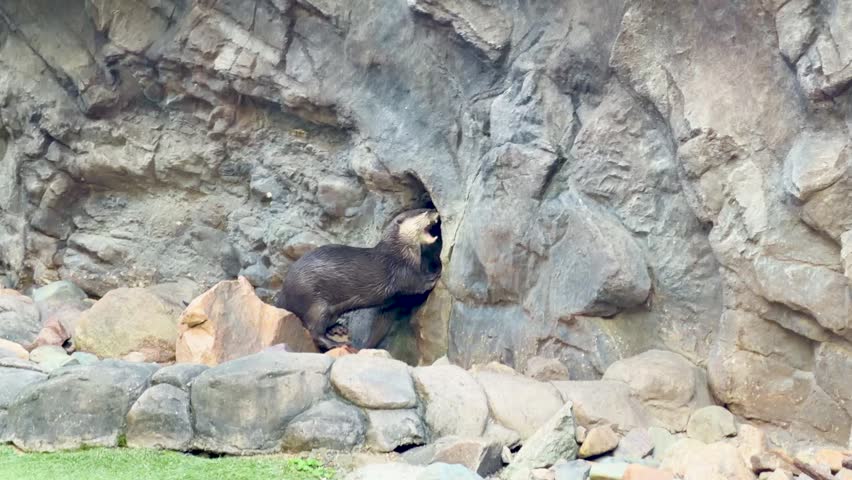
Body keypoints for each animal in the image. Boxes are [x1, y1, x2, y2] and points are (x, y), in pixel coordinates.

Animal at [275, 208, 441, 351]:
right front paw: (435, 272)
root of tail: (284, 293)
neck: (400, 253)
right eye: (422, 211)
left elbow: (381, 326)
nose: (434, 210)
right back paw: (335, 343)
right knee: (314, 331)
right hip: (315, 303)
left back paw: (337, 328)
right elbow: (419, 284)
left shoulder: (391, 303)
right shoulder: (401, 272)